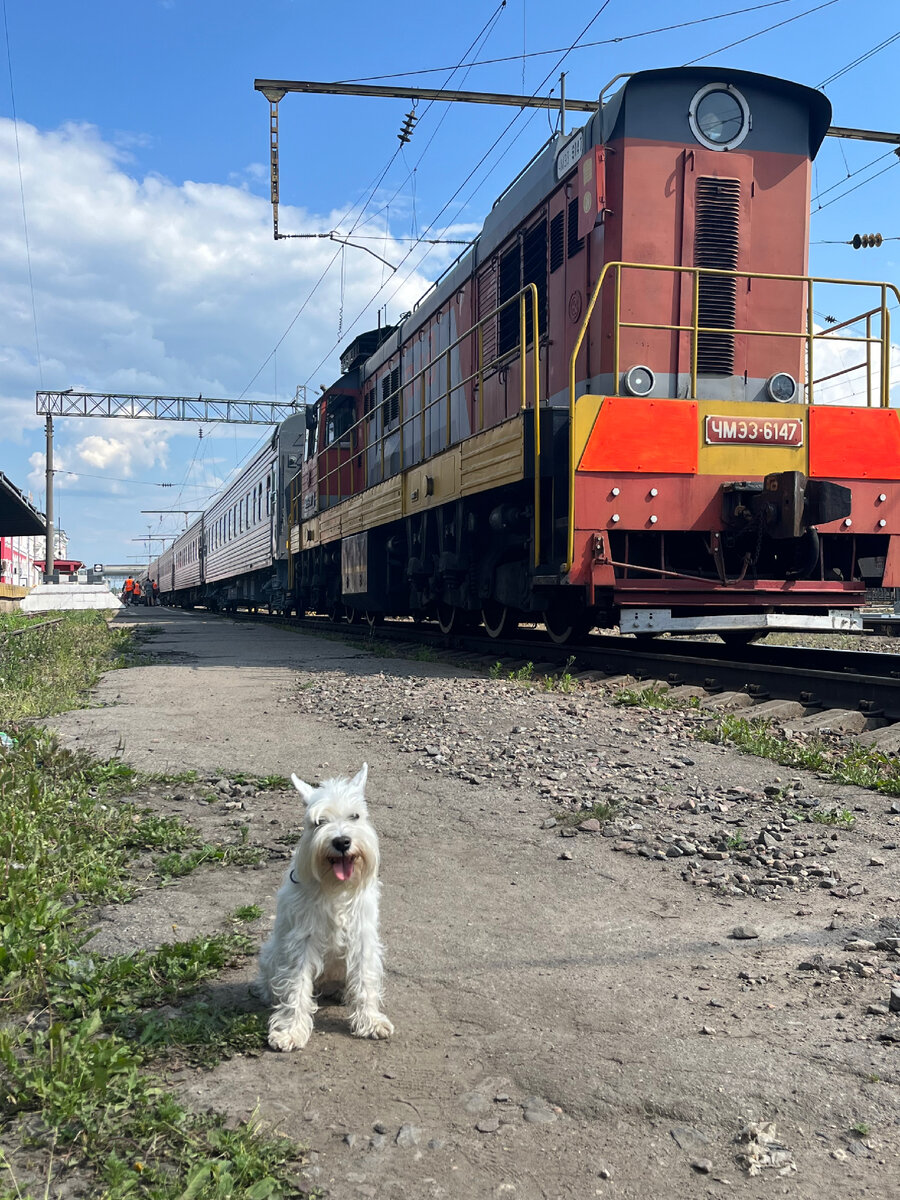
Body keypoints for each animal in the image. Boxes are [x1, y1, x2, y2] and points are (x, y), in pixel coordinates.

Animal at [255, 758, 393, 1051]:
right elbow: (296, 984)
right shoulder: (302, 941)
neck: (335, 888)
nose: (341, 841)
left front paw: (370, 1021)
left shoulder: (362, 937)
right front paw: (290, 1031)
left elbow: (365, 979)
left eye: (355, 816)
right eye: (319, 822)